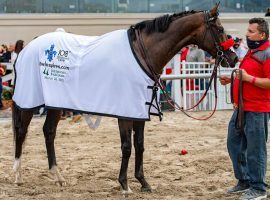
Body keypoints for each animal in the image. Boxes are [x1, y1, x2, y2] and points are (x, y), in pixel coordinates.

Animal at [12, 3, 236, 195]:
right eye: (220, 28)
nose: (233, 58)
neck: (142, 53)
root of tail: (27, 48)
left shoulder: (139, 110)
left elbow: (140, 144)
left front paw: (143, 182)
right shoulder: (125, 112)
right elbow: (127, 147)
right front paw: (124, 184)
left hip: (55, 104)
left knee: (49, 132)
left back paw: (58, 176)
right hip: (29, 102)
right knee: (22, 132)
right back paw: (18, 175)